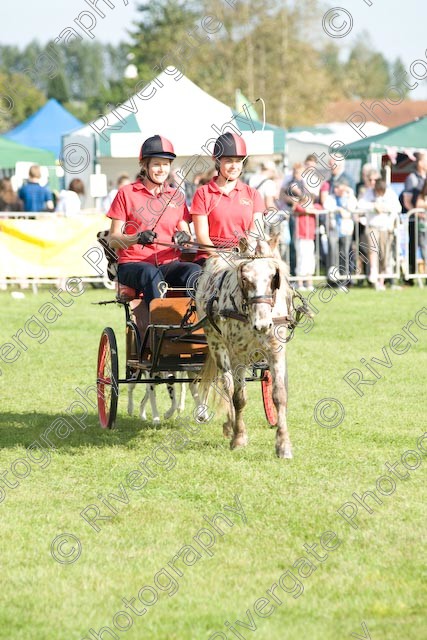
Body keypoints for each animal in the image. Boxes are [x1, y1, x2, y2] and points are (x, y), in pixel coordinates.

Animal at [196, 232, 306, 458]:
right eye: (245, 278)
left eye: (274, 277)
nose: (262, 324)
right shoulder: (237, 356)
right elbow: (239, 397)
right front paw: (239, 438)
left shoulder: (276, 352)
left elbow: (280, 396)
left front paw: (283, 445)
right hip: (216, 344)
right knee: (227, 384)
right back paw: (230, 426)